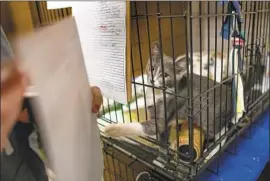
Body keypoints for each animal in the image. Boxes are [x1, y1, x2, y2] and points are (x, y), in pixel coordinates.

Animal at [104, 41, 233, 144]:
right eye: (152, 68)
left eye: (165, 75)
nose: (152, 80)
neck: (156, 92)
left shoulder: (165, 111)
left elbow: (147, 126)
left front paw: (111, 129)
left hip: (210, 117)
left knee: (220, 133)